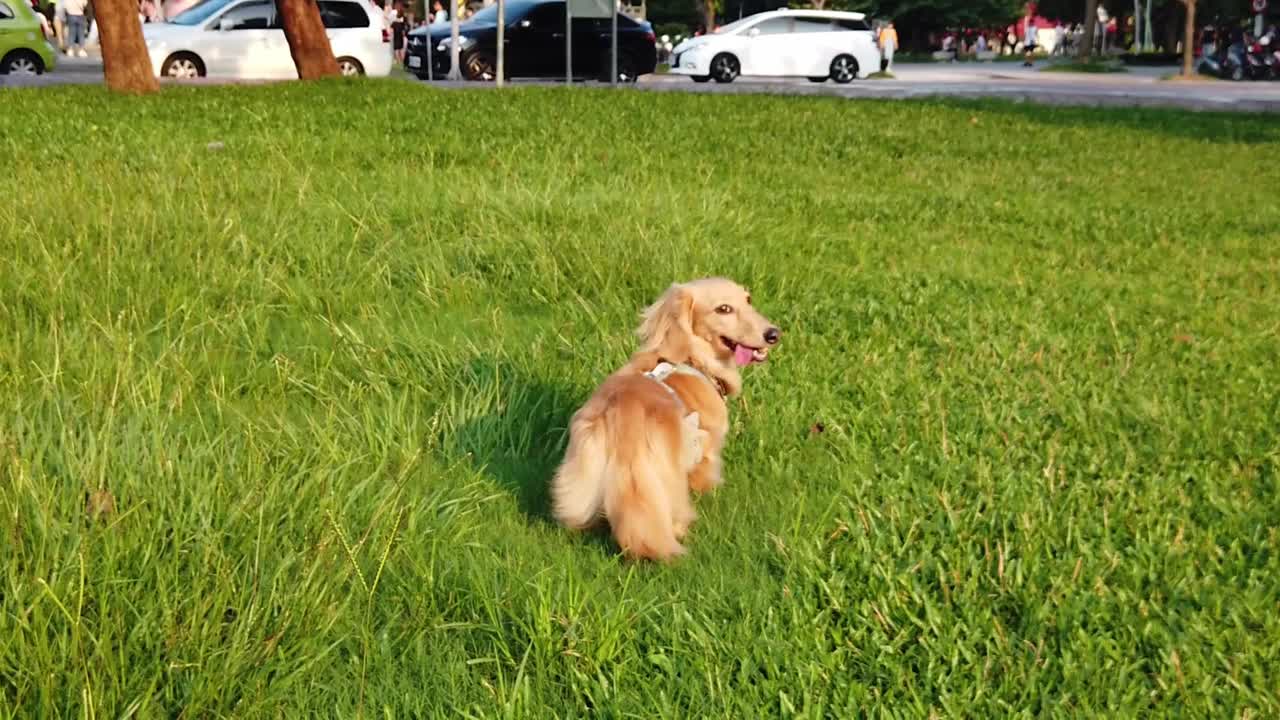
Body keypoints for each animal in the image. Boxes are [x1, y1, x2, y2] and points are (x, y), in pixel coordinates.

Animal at [550, 278, 778, 558]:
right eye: (723, 309)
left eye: (748, 299)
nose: (773, 334)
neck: (692, 359)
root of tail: (623, 420)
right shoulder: (707, 447)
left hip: (581, 474)